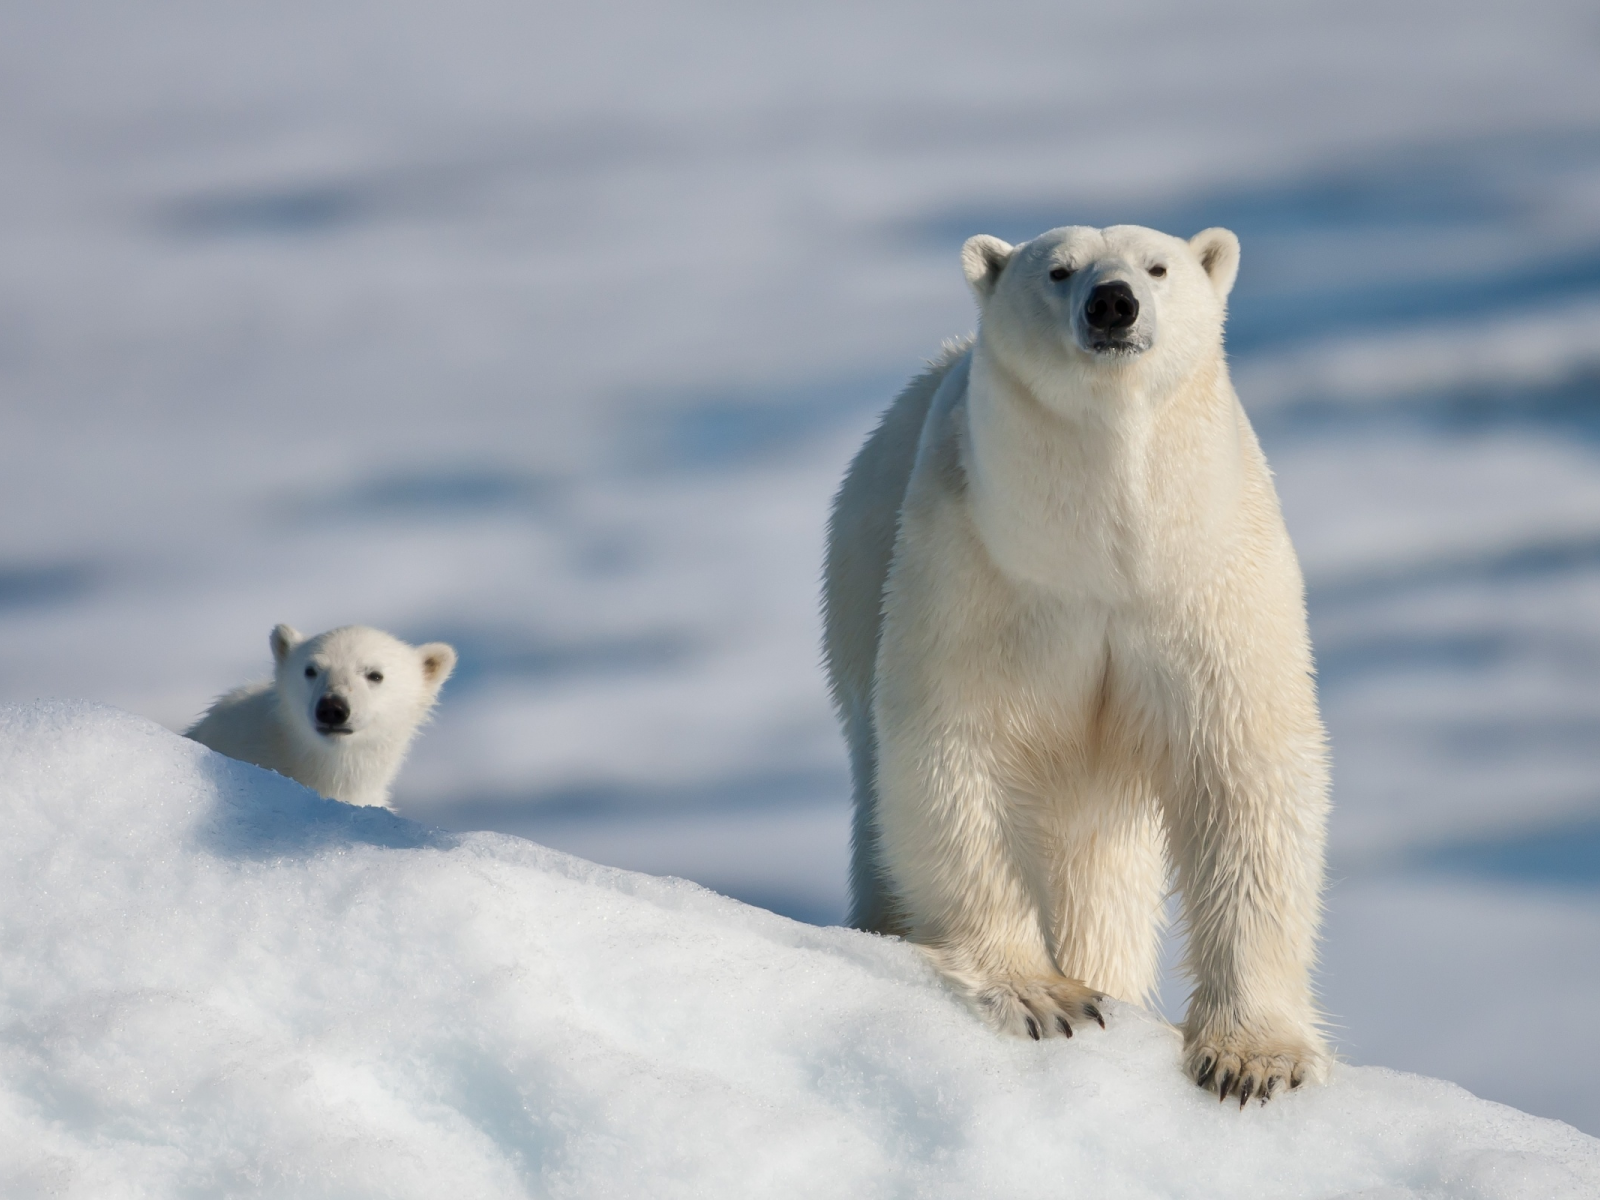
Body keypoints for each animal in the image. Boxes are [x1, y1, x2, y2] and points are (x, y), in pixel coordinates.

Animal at [819, 225, 1331, 1107]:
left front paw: (1250, 1059)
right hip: (857, 588)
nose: (1113, 303)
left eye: (1158, 266)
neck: (1106, 549)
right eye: (1058, 271)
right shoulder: (981, 570)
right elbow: (958, 755)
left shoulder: (1207, 580)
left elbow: (1244, 773)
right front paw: (1044, 996)